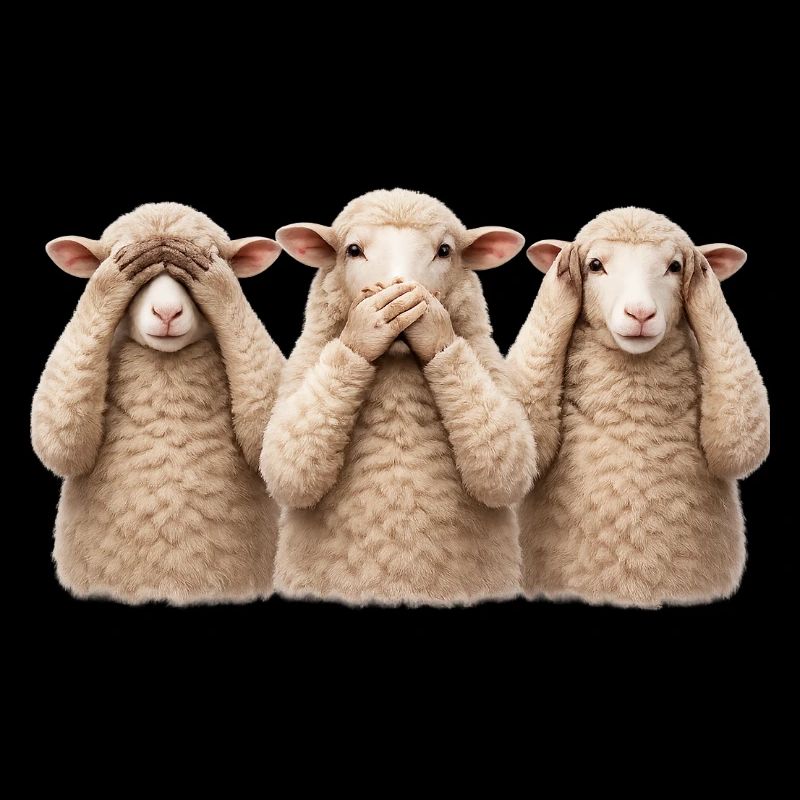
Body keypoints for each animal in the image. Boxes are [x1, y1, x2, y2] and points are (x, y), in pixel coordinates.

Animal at [261, 188, 536, 606]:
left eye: (444, 250)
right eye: (353, 249)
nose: (401, 291)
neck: (397, 364)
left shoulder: (494, 373)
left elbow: (508, 464)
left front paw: (431, 326)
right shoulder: (299, 375)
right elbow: (286, 465)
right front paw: (369, 328)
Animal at [507, 207, 769, 607]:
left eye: (675, 266)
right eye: (594, 265)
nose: (640, 313)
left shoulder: (736, 426)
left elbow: (738, 447)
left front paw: (703, 281)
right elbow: (529, 445)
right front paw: (561, 276)